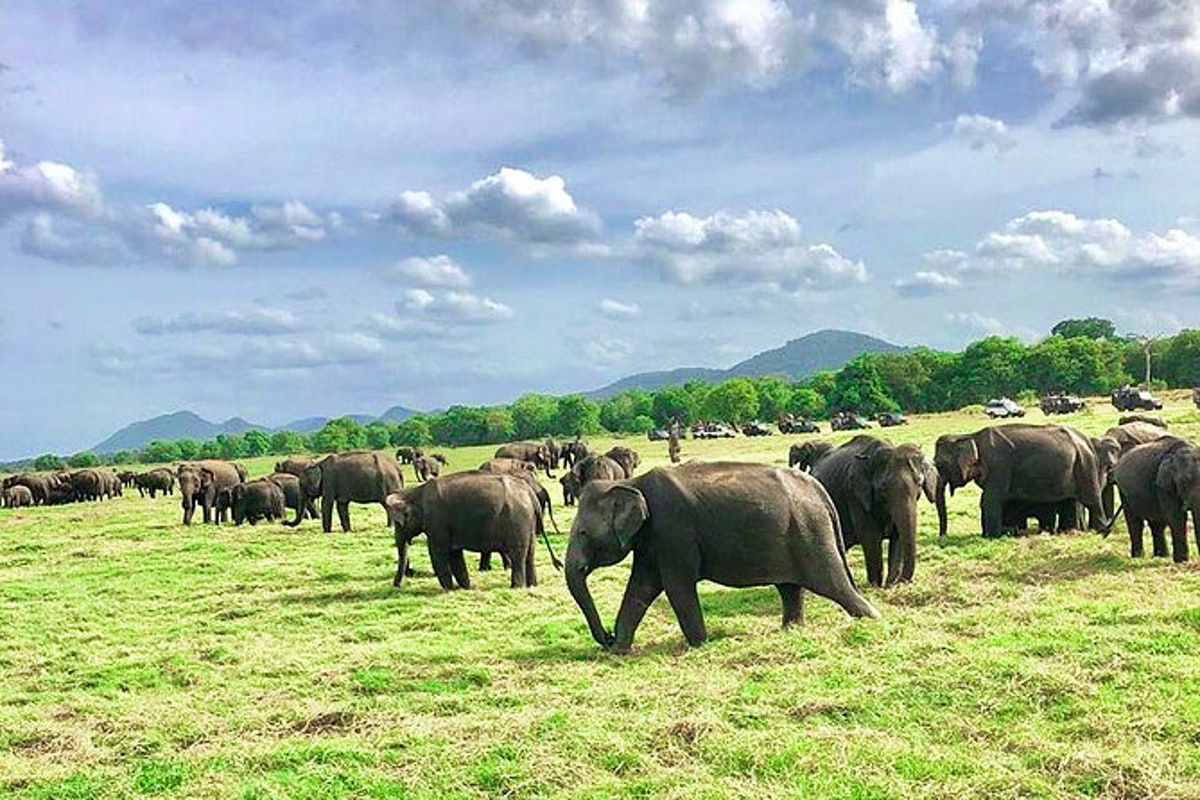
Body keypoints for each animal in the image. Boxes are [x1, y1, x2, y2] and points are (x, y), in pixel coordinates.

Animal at [385, 472, 546, 590]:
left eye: (398, 524)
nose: (396, 586)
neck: (415, 492)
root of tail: (529, 493)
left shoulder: (436, 522)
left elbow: (437, 554)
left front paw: (448, 589)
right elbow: (455, 555)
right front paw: (466, 587)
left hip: (517, 520)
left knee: (518, 554)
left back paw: (516, 587)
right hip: (528, 522)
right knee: (530, 554)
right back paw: (532, 586)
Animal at [566, 461, 880, 654]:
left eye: (582, 532)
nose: (607, 636)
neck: (632, 482)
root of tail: (819, 490)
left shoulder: (673, 531)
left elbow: (677, 587)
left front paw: (699, 645)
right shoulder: (651, 540)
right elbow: (641, 587)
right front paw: (620, 651)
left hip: (811, 533)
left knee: (833, 584)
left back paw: (874, 621)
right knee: (790, 588)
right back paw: (791, 630)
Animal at [810, 435, 938, 587]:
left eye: (919, 484)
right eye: (883, 488)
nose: (901, 581)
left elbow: (897, 537)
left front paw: (889, 584)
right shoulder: (856, 495)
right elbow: (870, 537)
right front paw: (876, 586)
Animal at [934, 424, 1110, 540]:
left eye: (940, 465)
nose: (942, 538)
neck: (971, 436)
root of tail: (1087, 441)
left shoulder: (1000, 464)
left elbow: (990, 499)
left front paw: (993, 536)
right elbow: (989, 498)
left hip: (1085, 465)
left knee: (1091, 499)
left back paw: (1101, 531)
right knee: (1070, 500)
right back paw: (1069, 532)